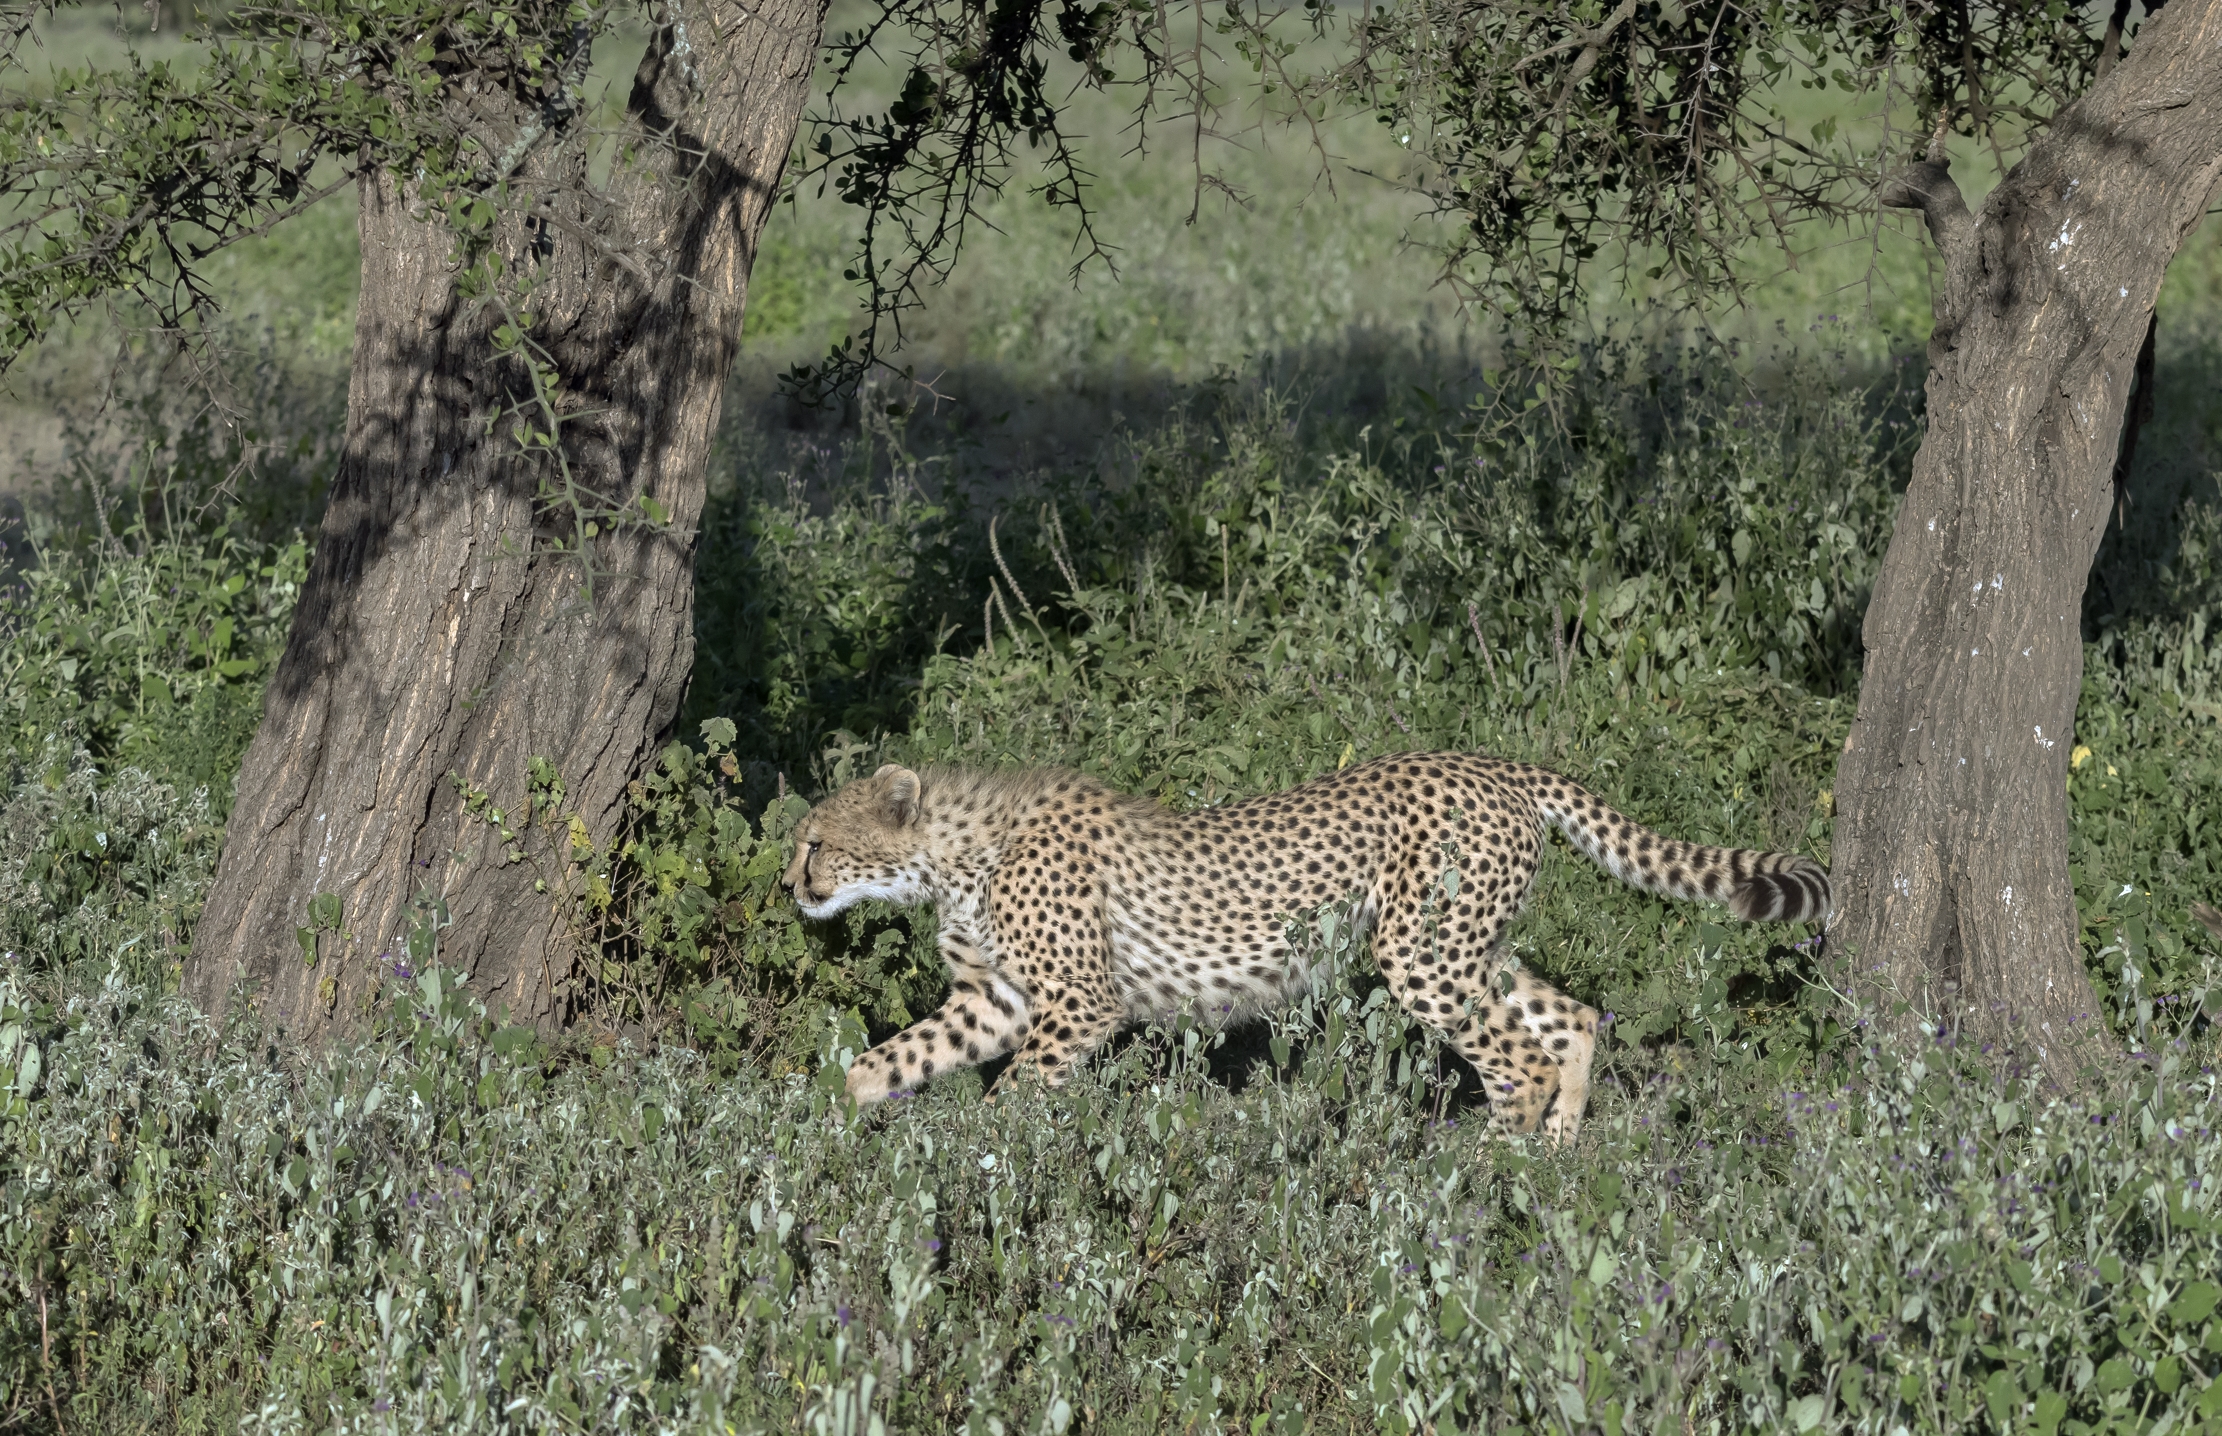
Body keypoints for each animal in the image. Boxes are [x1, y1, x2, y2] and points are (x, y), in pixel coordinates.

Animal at [781, 752, 1830, 1143]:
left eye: (817, 843)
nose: (790, 884)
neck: (954, 853)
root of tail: (1498, 762)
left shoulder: (1078, 1002)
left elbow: (1011, 1097)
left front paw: (978, 1159)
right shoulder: (992, 1000)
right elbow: (891, 1060)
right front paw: (821, 1126)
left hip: (1424, 956)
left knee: (1519, 1059)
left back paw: (1484, 1178)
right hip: (1470, 949)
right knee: (1569, 1018)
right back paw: (1558, 1160)